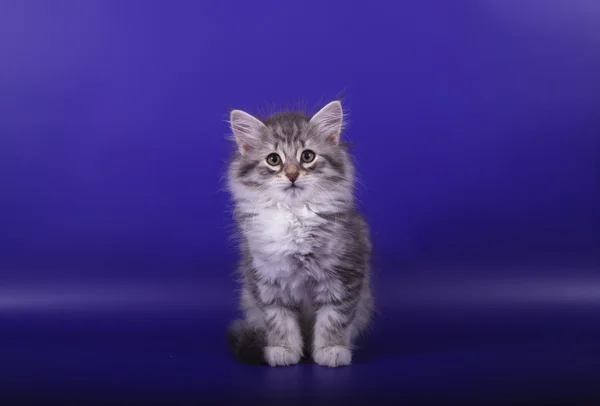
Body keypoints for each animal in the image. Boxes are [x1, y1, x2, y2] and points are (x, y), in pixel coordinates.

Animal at [227, 101, 372, 368]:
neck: (295, 216)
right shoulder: (266, 281)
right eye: (273, 159)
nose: (292, 174)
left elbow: (334, 318)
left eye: (307, 156)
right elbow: (279, 321)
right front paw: (283, 350)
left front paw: (331, 350)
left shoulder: (343, 276)